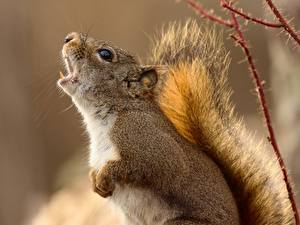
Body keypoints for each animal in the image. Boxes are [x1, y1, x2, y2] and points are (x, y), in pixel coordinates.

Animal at [57, 20, 294, 224]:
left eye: (105, 54)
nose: (68, 38)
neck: (104, 118)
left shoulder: (146, 140)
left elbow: (144, 166)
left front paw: (105, 176)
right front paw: (94, 181)